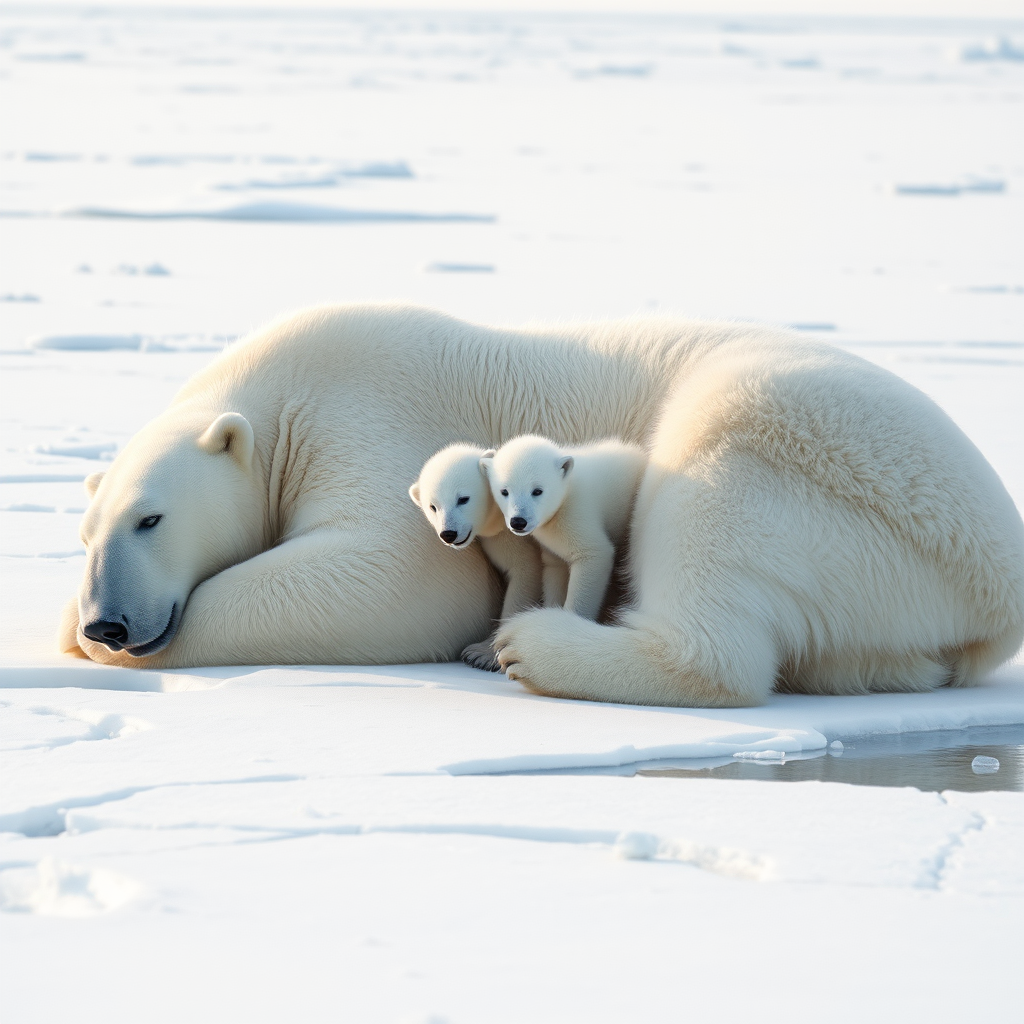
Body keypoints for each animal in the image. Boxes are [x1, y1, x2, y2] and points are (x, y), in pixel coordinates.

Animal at [409, 443, 543, 670]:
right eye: (433, 506)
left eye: (463, 499)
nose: (448, 533)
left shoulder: (515, 535)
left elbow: (525, 571)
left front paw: (483, 654)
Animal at [480, 435, 646, 621]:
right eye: (504, 491)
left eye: (537, 491)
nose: (518, 521)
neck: (567, 488)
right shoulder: (552, 543)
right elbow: (555, 567)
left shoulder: (575, 513)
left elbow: (594, 553)